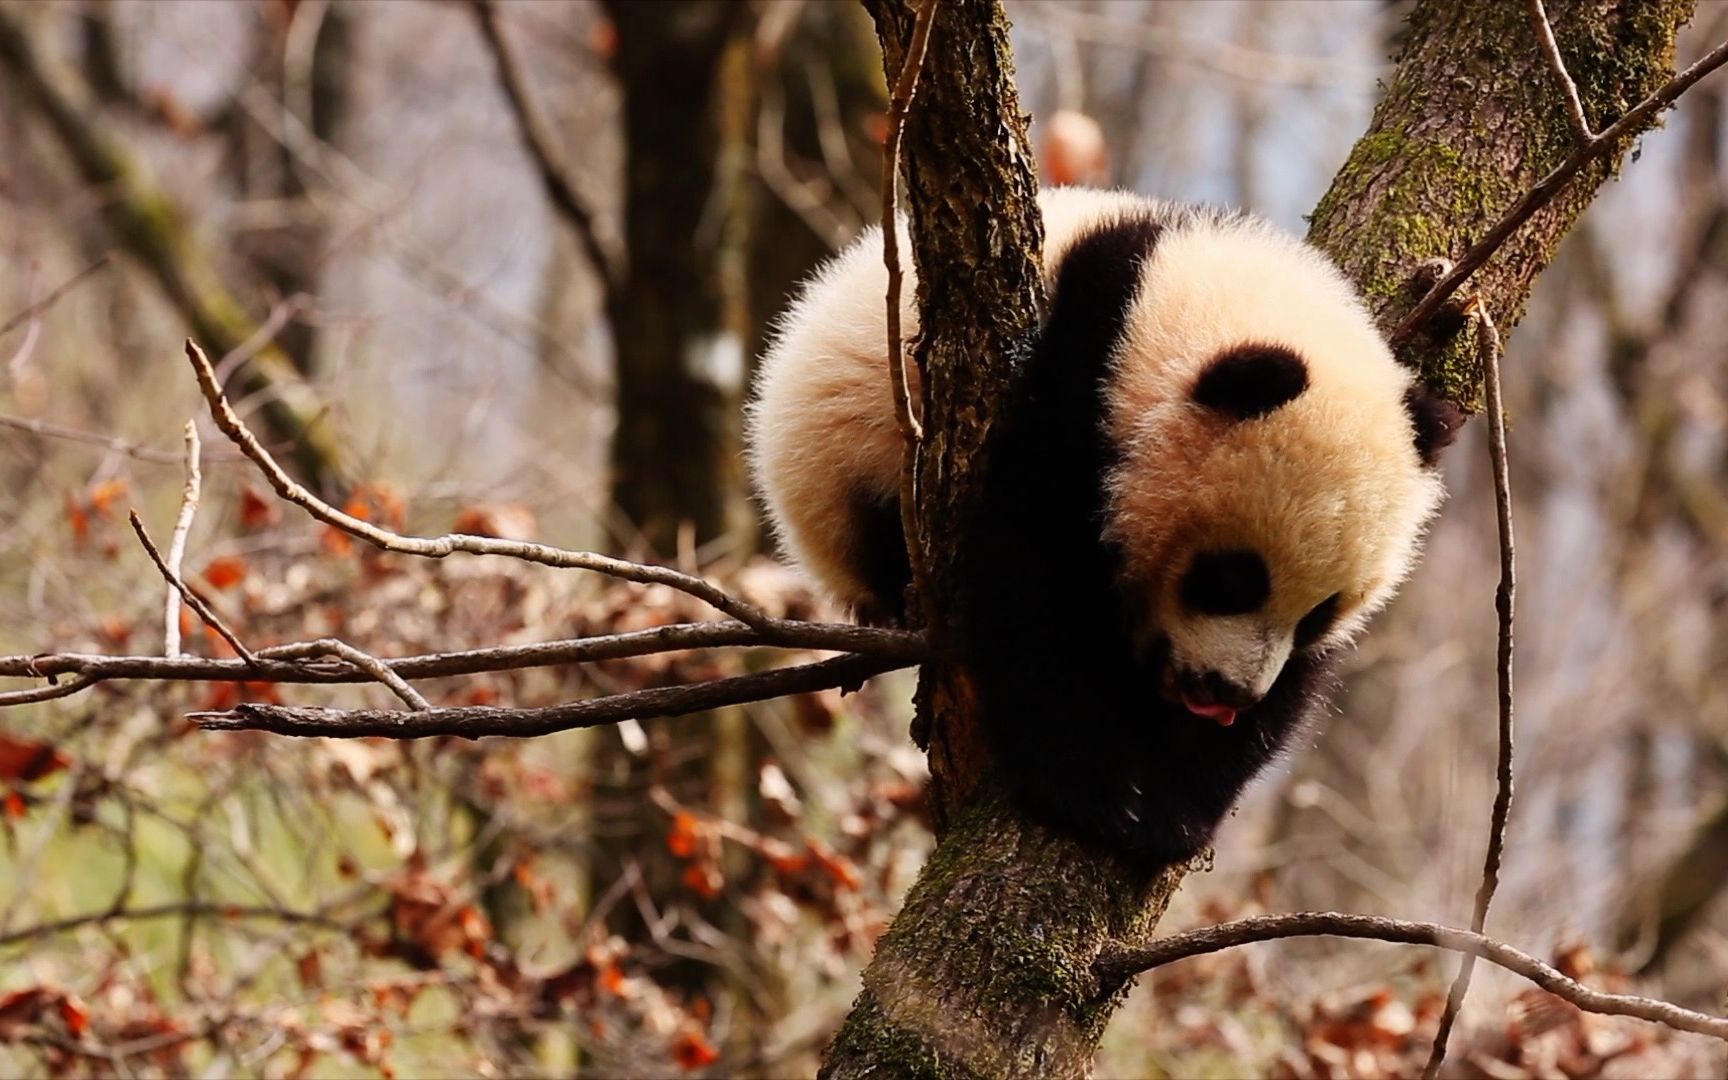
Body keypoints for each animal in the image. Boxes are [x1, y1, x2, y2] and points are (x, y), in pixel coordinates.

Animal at [743, 183, 1458, 860]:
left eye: (1321, 611)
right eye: (1231, 580)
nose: (1227, 692)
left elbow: (1296, 683)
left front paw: (1176, 804)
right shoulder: (1080, 371)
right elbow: (1033, 574)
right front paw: (1094, 789)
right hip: (837, 458)